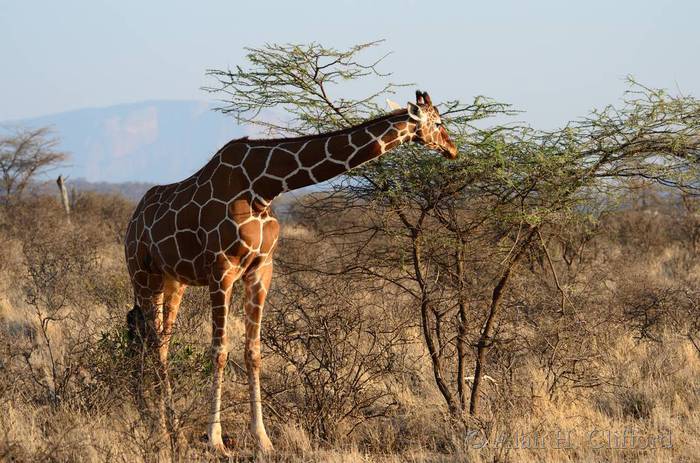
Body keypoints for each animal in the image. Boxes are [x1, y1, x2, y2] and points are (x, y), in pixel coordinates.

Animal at [126, 89, 460, 454]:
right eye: (438, 122)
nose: (453, 148)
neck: (264, 185)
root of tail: (134, 218)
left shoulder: (261, 269)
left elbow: (253, 351)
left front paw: (262, 439)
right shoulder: (221, 270)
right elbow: (219, 351)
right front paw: (215, 440)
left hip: (174, 281)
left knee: (160, 342)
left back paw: (170, 426)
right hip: (142, 274)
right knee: (149, 341)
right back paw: (158, 430)